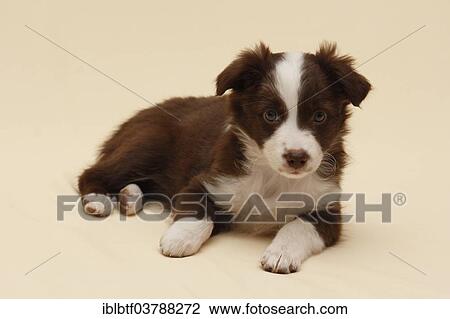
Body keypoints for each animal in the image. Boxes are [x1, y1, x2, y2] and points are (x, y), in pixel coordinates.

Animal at [79, 42, 370, 276]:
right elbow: (199, 212)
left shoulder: (327, 208)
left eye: (320, 116)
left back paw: (129, 197)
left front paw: (281, 253)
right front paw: (179, 238)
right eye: (270, 115)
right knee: (93, 172)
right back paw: (99, 200)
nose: (296, 158)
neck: (271, 175)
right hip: (147, 143)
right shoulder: (206, 180)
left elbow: (300, 226)